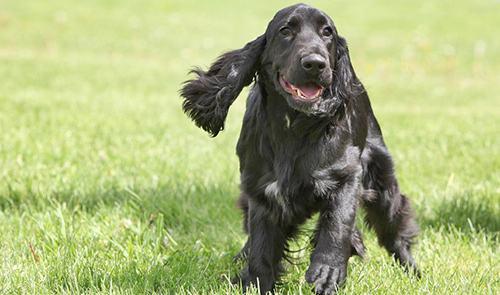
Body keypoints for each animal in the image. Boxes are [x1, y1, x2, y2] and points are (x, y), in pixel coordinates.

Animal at [180, 4, 418, 294]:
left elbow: (337, 225)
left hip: (382, 178)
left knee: (395, 227)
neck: (292, 129)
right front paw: (254, 282)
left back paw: (413, 272)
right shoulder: (261, 192)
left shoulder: (348, 177)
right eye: (285, 31)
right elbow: (261, 247)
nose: (315, 64)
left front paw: (327, 272)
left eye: (327, 32)